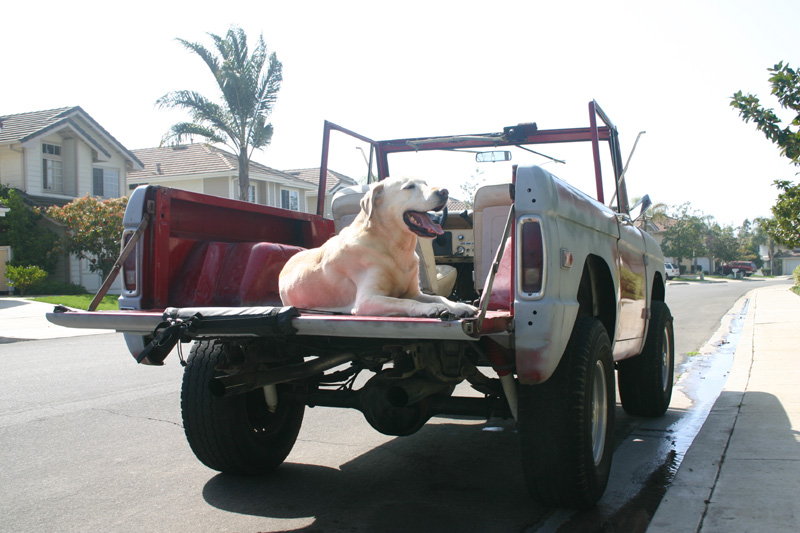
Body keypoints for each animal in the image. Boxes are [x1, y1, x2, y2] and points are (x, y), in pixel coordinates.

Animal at [282, 176, 478, 316]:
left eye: (425, 183)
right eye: (409, 187)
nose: (444, 192)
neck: (395, 247)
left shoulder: (415, 292)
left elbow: (439, 297)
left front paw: (459, 306)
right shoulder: (366, 300)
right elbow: (404, 302)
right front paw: (430, 309)